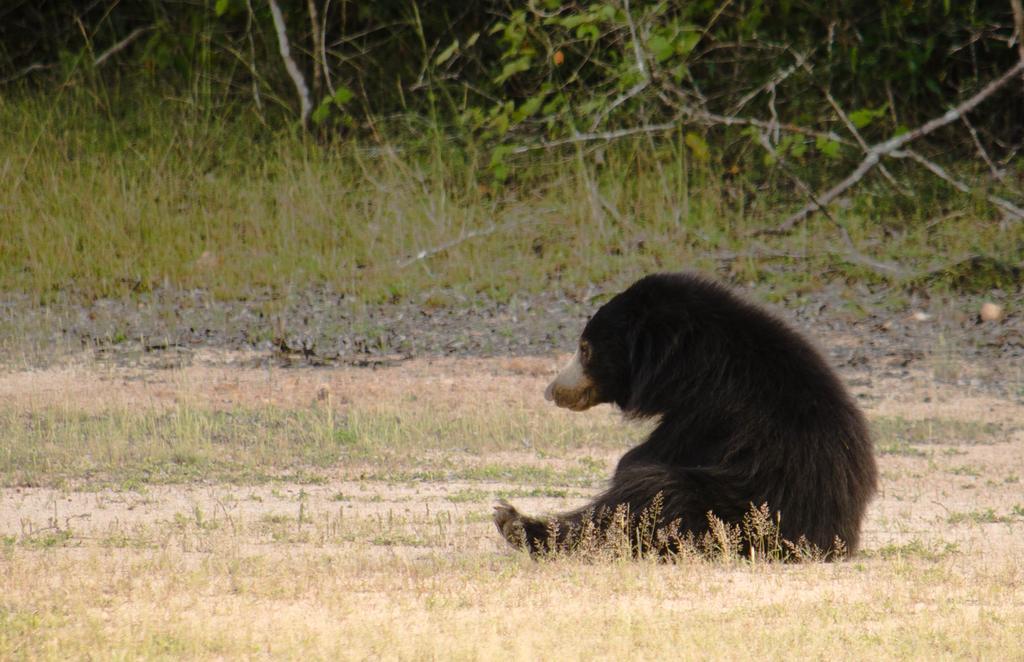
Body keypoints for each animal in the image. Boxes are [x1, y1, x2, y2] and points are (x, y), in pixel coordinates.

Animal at [491, 274, 876, 561]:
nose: (552, 391)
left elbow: (640, 460)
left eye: (585, 350)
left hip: (731, 511)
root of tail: (833, 537)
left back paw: (515, 523)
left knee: (649, 497)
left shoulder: (709, 409)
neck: (689, 363)